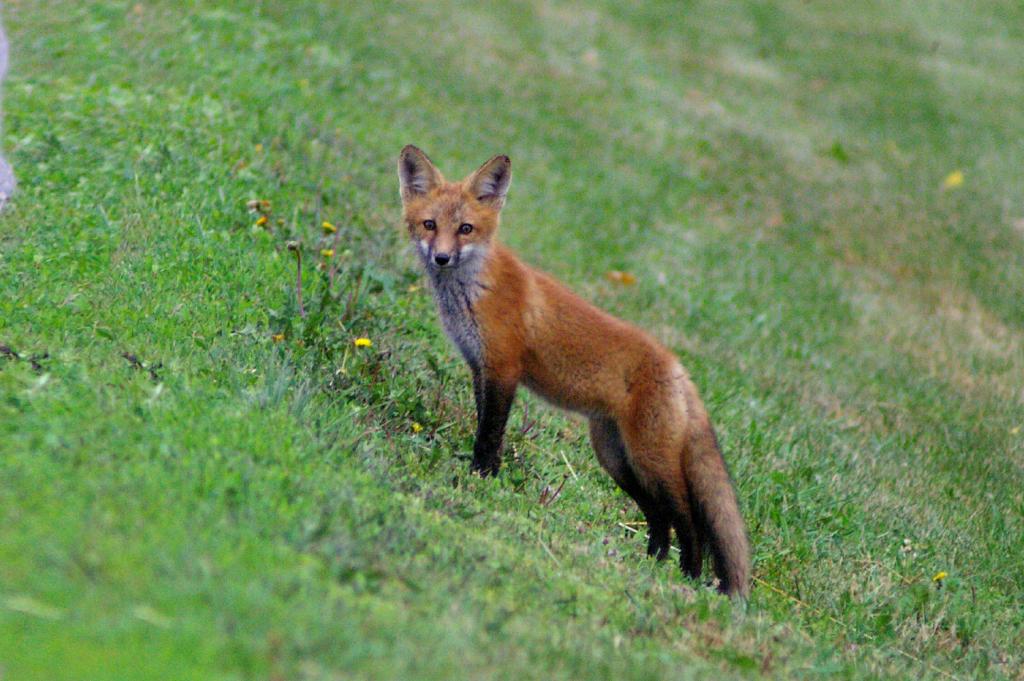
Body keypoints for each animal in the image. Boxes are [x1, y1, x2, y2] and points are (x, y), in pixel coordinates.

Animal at [397, 145, 751, 598]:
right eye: (430, 224)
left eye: (465, 229)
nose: (441, 257)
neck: (474, 288)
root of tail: (680, 370)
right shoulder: (480, 369)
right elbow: (484, 429)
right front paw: (483, 477)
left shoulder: (503, 370)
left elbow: (489, 437)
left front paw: (481, 480)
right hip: (616, 458)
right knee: (660, 519)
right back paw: (649, 563)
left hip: (650, 461)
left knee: (688, 520)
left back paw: (687, 575)